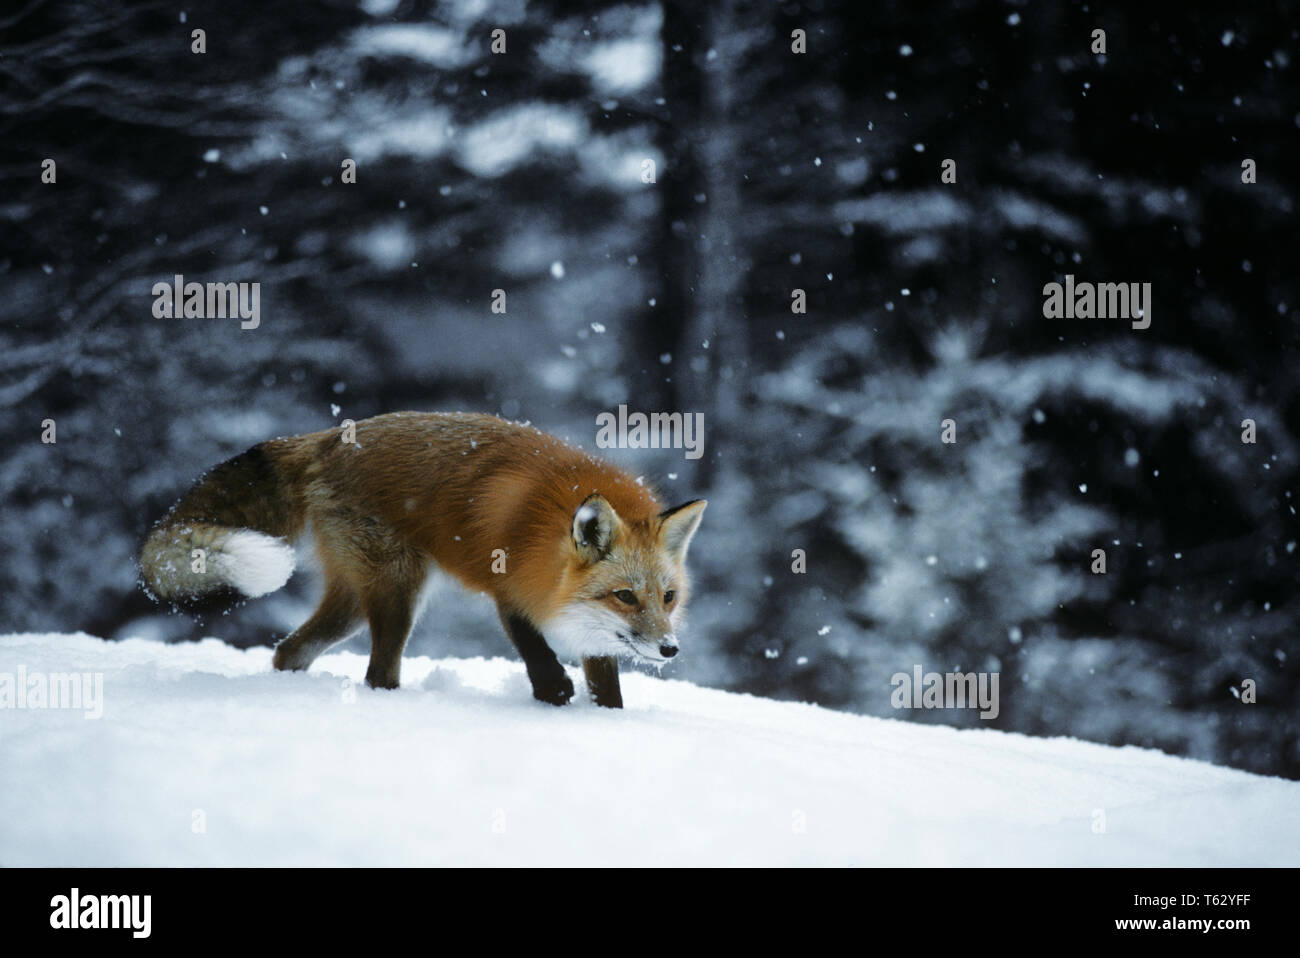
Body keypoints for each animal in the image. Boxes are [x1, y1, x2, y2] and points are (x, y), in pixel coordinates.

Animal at [138, 411, 706, 708]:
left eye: (668, 597)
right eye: (625, 596)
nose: (670, 648)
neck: (546, 541)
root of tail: (327, 438)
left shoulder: (588, 630)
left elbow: (606, 685)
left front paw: (606, 721)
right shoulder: (508, 589)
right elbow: (534, 648)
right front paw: (553, 693)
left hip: (354, 599)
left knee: (290, 651)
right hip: (397, 590)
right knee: (376, 674)